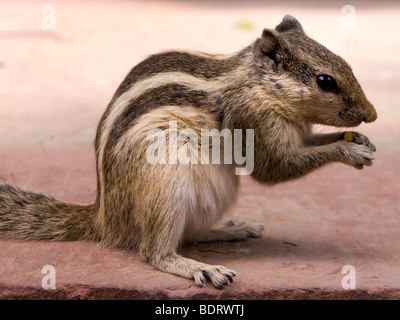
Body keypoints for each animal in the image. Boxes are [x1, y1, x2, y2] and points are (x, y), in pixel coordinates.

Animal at [0, 15, 376, 290]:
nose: (372, 114)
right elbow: (272, 170)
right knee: (153, 252)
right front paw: (347, 150)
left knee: (191, 234)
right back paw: (199, 268)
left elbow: (307, 147)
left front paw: (360, 140)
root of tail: (104, 218)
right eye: (326, 81)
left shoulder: (297, 132)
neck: (257, 85)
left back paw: (230, 230)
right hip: (165, 182)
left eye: (345, 64)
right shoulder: (252, 120)